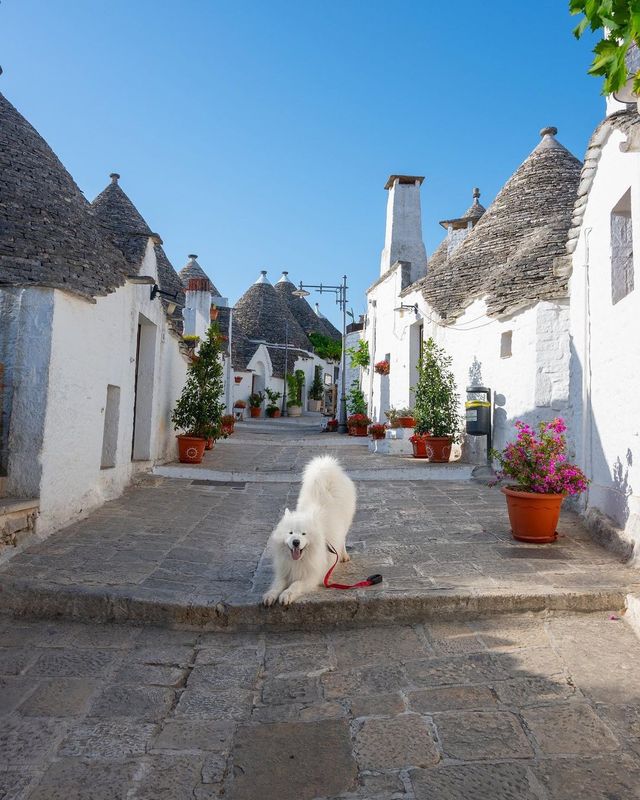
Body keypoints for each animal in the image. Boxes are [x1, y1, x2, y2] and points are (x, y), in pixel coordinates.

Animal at [262, 456, 358, 608]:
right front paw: (270, 595)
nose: (296, 542)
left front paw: (286, 595)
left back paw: (343, 556)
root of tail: (328, 469)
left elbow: (295, 585)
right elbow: (276, 586)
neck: (299, 560)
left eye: (303, 534)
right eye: (290, 533)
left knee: (342, 539)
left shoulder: (311, 577)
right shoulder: (284, 572)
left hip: (346, 522)